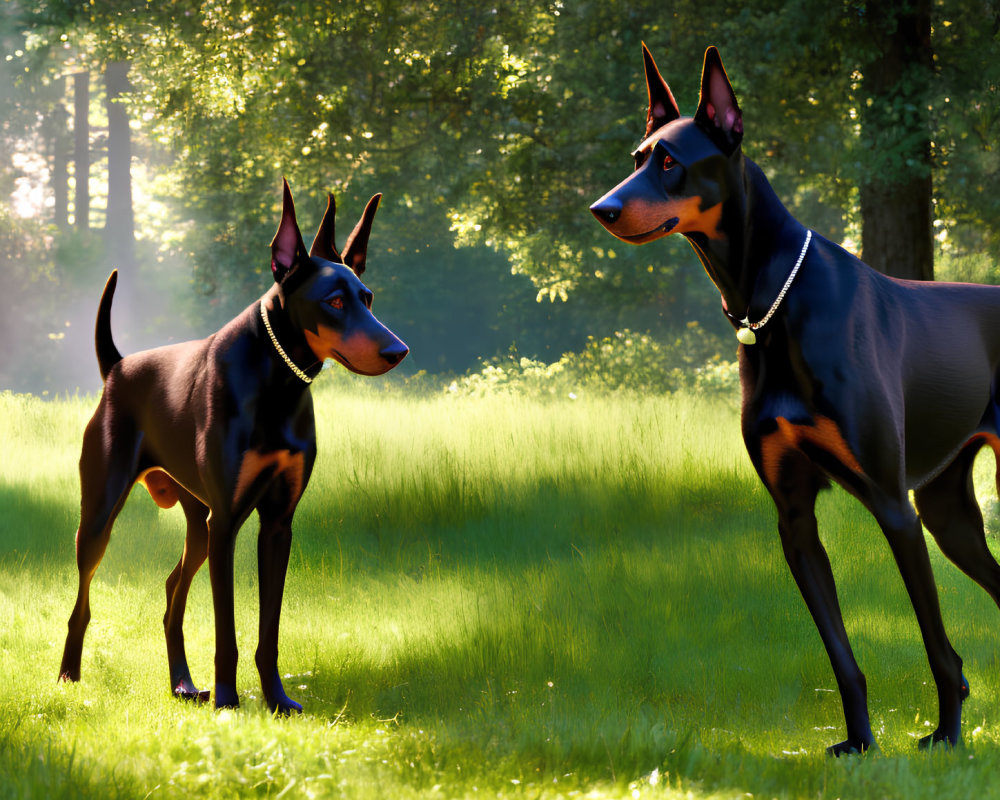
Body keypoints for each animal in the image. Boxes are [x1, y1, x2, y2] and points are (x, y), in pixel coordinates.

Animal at [58, 180, 408, 712]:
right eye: (334, 302)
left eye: (367, 297)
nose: (397, 350)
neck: (278, 381)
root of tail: (117, 366)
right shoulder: (225, 522)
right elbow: (227, 628)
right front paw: (228, 701)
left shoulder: (278, 524)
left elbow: (269, 629)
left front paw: (277, 700)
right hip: (102, 515)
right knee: (83, 600)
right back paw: (70, 677)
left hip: (196, 519)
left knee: (172, 593)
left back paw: (183, 685)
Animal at [588, 45, 1000, 756]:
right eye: (637, 155)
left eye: (670, 162)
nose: (601, 208)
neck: (770, 302)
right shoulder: (794, 517)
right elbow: (841, 656)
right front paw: (860, 746)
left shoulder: (893, 506)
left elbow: (937, 645)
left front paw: (947, 736)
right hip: (948, 512)